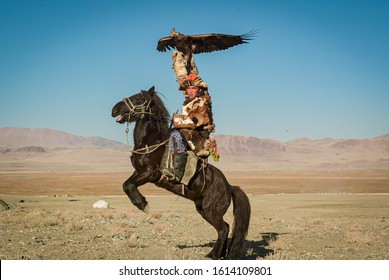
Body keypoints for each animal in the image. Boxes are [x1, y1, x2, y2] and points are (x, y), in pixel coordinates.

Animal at [110, 86, 250, 260]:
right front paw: (141, 203)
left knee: (223, 229)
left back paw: (212, 255)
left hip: (211, 211)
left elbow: (128, 185)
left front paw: (143, 205)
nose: (114, 109)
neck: (151, 142)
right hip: (203, 209)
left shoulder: (150, 174)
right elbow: (126, 184)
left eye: (138, 99)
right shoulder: (138, 172)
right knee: (224, 227)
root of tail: (229, 187)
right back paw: (220, 255)